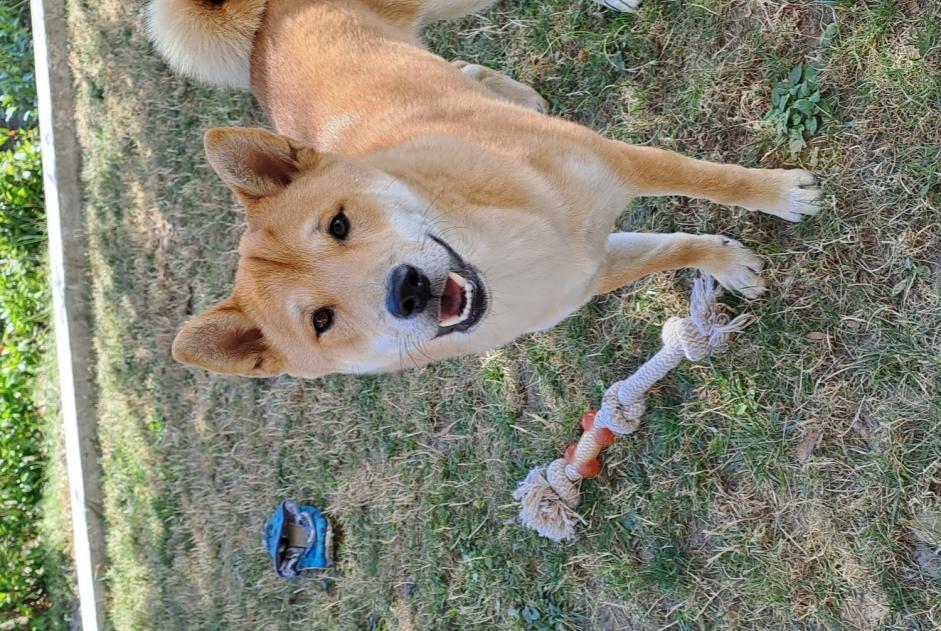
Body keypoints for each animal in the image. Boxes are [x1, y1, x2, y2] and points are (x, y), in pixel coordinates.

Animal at [145, 0, 816, 380]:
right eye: (321, 321)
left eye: (339, 224)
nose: (407, 290)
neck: (499, 249)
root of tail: (256, 35)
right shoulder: (593, 268)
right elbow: (673, 247)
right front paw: (726, 263)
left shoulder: (617, 161)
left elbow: (713, 178)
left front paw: (781, 195)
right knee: (460, 69)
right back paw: (506, 91)